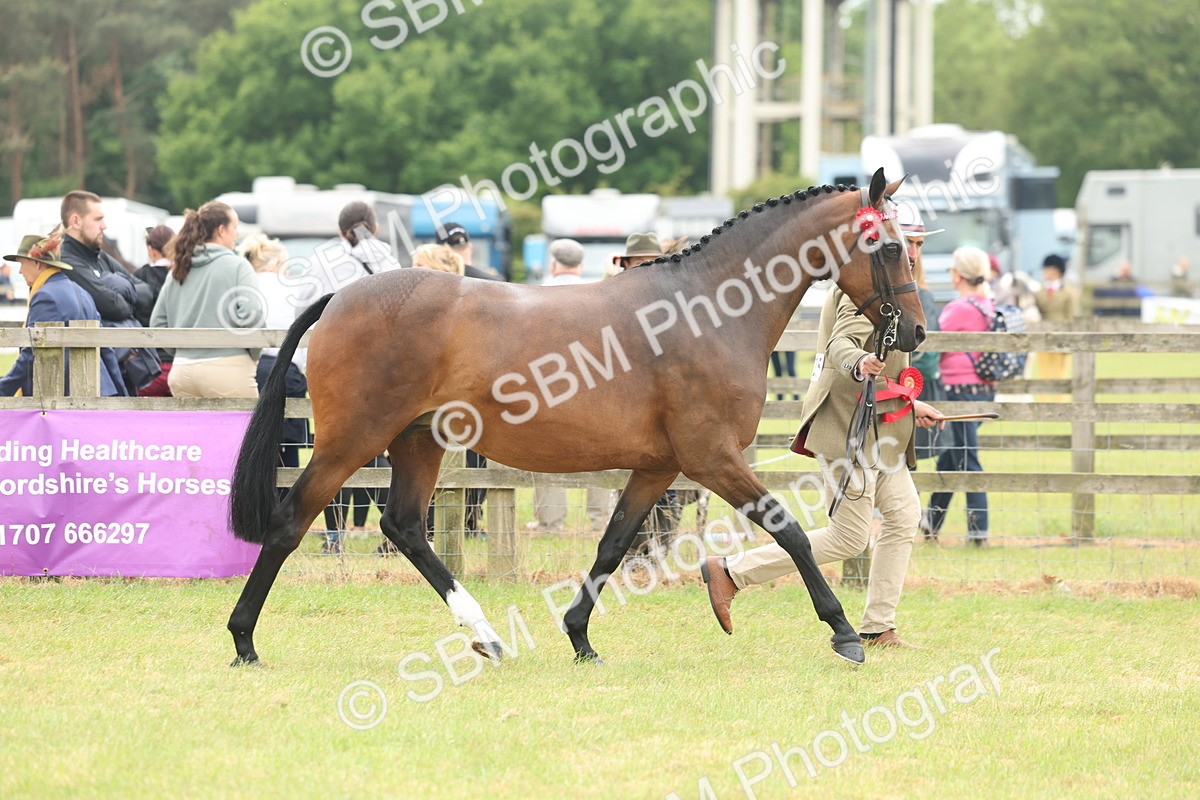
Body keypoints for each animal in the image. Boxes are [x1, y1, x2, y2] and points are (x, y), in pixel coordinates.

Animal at [226, 169, 925, 667]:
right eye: (890, 247)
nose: (915, 333)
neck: (708, 310)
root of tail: (341, 295)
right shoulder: (711, 458)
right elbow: (791, 531)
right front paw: (844, 632)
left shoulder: (659, 467)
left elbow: (613, 543)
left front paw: (579, 635)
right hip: (352, 441)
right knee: (290, 523)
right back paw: (243, 640)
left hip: (418, 440)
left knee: (404, 527)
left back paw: (486, 636)